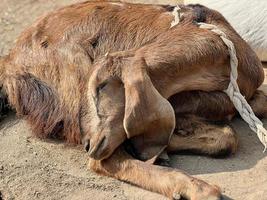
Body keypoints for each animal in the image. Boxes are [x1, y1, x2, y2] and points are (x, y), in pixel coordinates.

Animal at [0, 0, 267, 199]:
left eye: (101, 87)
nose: (87, 143)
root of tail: (10, 60)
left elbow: (234, 126)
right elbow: (226, 134)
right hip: (75, 74)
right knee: (102, 162)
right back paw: (195, 187)